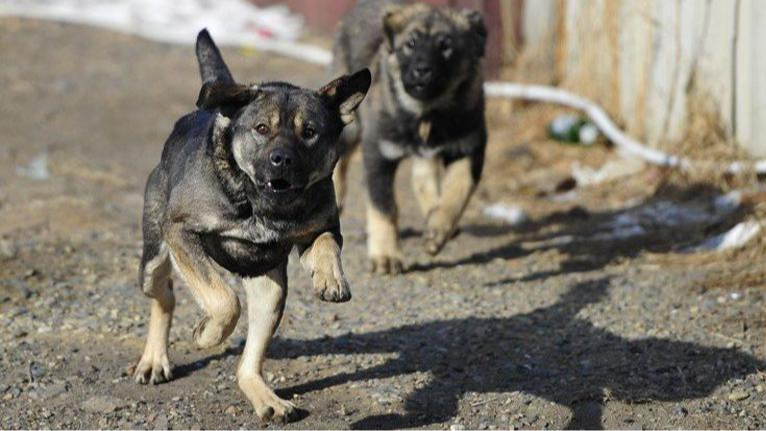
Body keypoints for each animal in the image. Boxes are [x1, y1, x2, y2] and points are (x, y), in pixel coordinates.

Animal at [130, 31, 370, 426]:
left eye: (309, 133)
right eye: (262, 129)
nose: (281, 160)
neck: (259, 206)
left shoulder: (321, 227)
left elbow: (325, 243)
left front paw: (331, 279)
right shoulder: (180, 232)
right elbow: (224, 301)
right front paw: (206, 334)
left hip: (270, 291)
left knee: (248, 364)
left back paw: (268, 399)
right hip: (153, 256)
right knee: (164, 295)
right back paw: (154, 359)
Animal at [332, 0, 488, 276]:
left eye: (445, 46)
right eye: (411, 44)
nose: (421, 72)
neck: (426, 112)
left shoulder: (470, 146)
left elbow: (459, 189)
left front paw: (438, 229)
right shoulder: (378, 151)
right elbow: (383, 205)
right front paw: (386, 255)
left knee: (423, 175)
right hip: (350, 126)